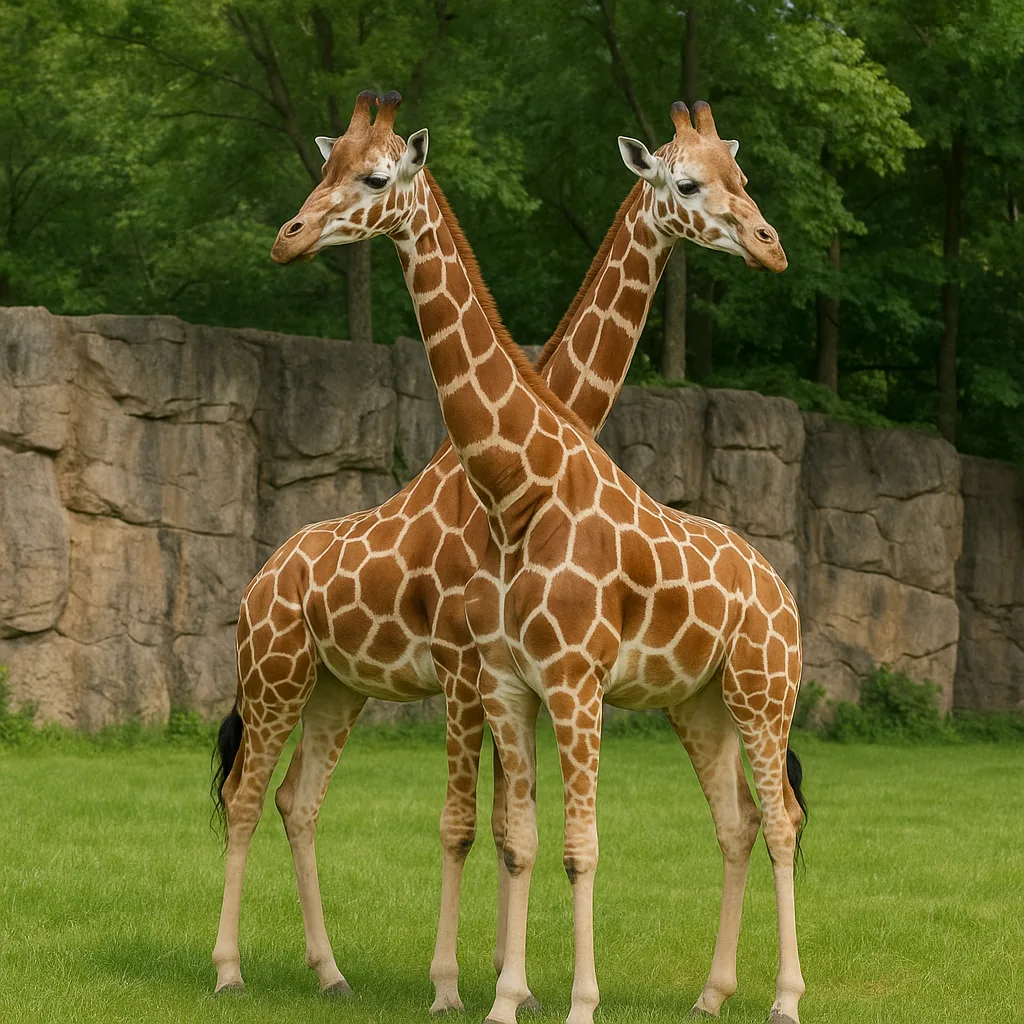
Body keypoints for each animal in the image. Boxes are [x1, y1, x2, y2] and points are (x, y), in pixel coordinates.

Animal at [214, 89, 789, 1017]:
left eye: (739, 178)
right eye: (690, 185)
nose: (289, 236)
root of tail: (260, 576)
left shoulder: (501, 678)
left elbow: (506, 829)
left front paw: (496, 978)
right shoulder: (470, 668)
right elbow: (475, 828)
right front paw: (461, 985)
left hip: (339, 686)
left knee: (296, 802)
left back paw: (328, 971)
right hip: (280, 673)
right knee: (248, 796)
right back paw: (234, 969)